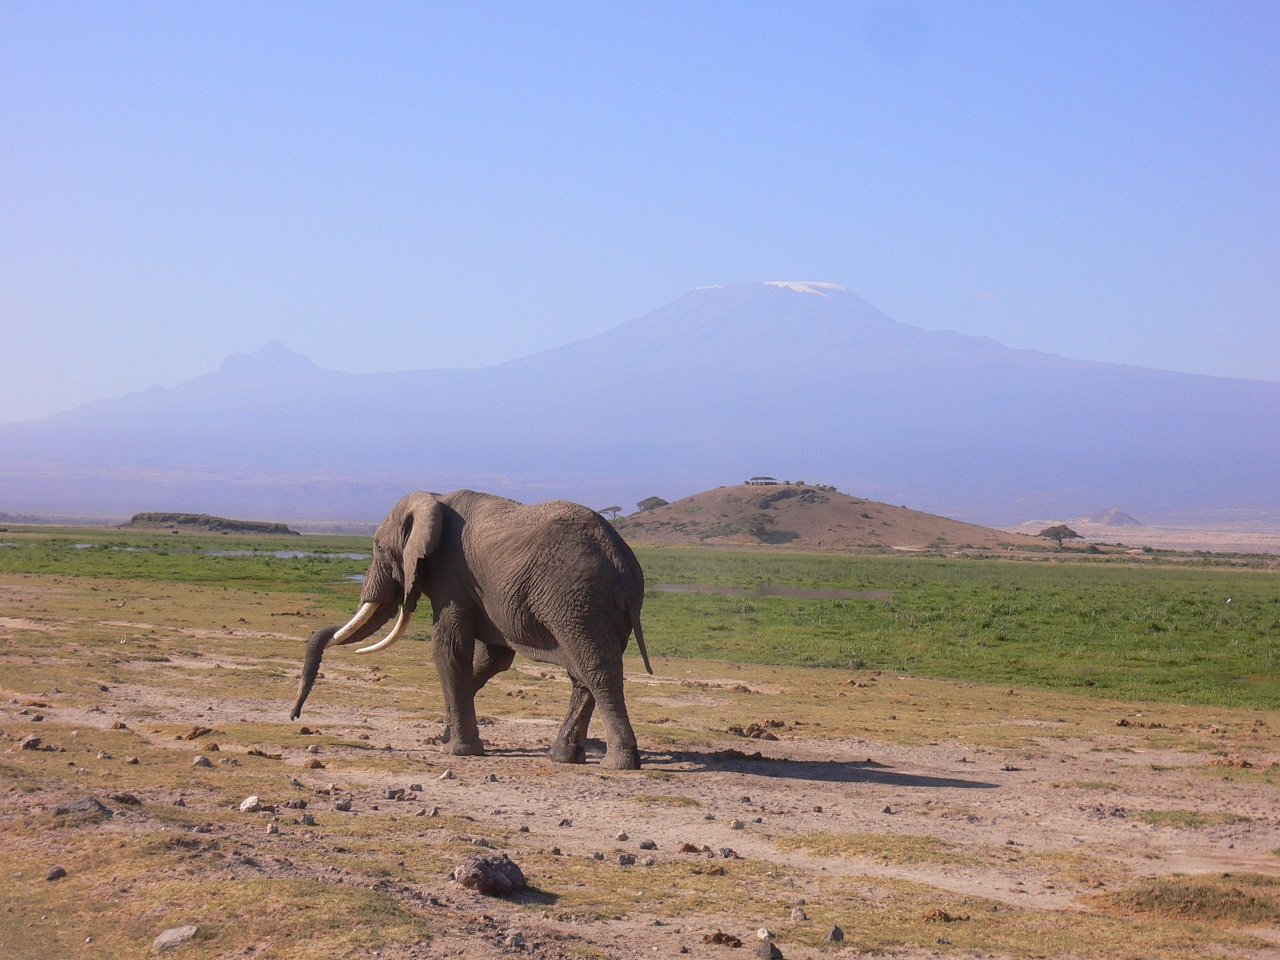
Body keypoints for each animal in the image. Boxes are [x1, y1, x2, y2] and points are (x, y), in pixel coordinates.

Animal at [289, 491, 650, 773]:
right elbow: (491, 658)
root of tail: (621, 560)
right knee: (582, 673)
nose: (294, 716)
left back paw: (619, 763)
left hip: (577, 600)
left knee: (596, 669)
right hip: (593, 608)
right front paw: (447, 736)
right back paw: (562, 757)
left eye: (378, 548)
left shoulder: (452, 574)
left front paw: (457, 750)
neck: (433, 499)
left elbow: (449, 648)